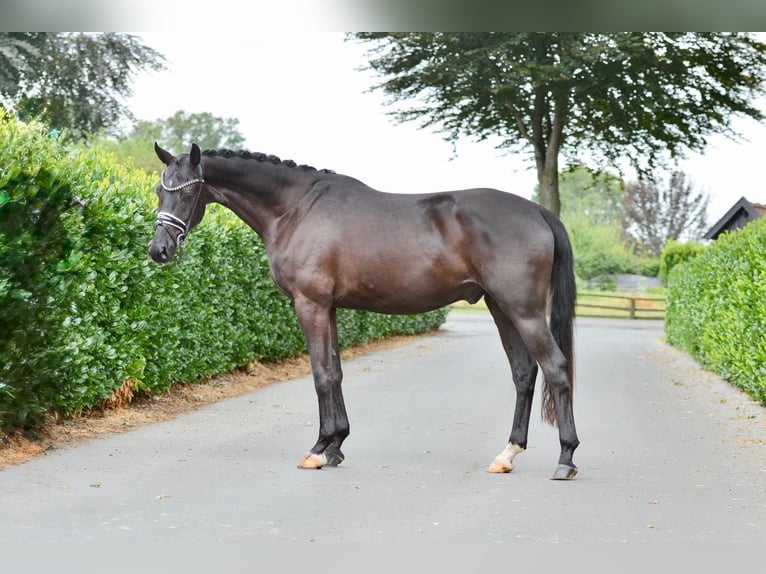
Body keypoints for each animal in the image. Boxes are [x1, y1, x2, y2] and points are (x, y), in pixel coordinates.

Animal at [148, 142, 579, 480]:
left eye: (188, 192)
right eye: (158, 190)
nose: (158, 250)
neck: (295, 209)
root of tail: (537, 212)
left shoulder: (310, 305)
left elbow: (321, 375)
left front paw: (318, 449)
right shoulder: (329, 308)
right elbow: (336, 372)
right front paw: (336, 445)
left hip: (522, 310)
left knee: (556, 368)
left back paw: (566, 457)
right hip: (500, 306)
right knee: (524, 373)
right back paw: (507, 454)